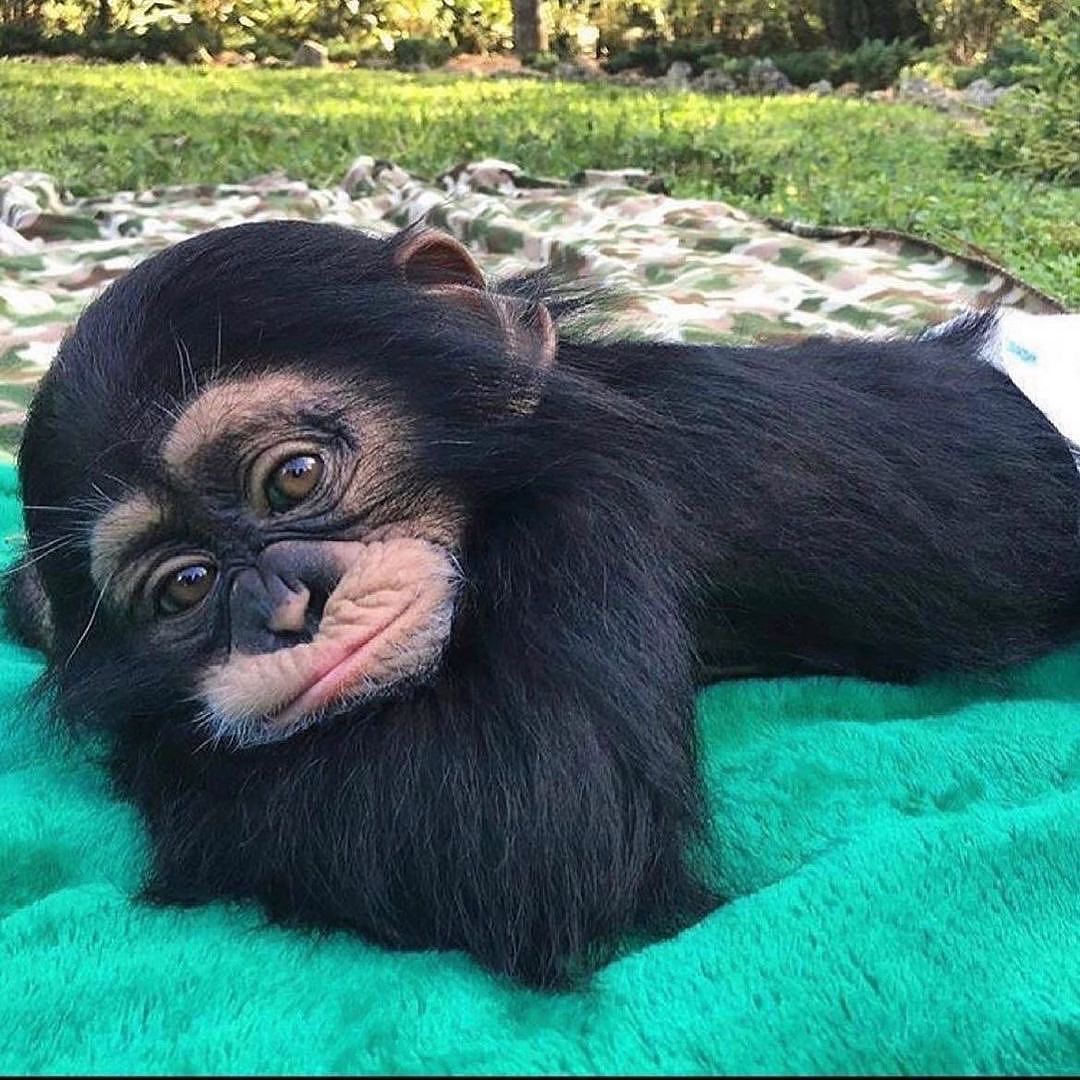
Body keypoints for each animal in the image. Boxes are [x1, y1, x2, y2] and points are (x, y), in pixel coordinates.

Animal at [7, 220, 1080, 988]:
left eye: (294, 478)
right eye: (186, 586)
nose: (286, 606)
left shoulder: (590, 515)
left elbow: (531, 814)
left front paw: (157, 750)